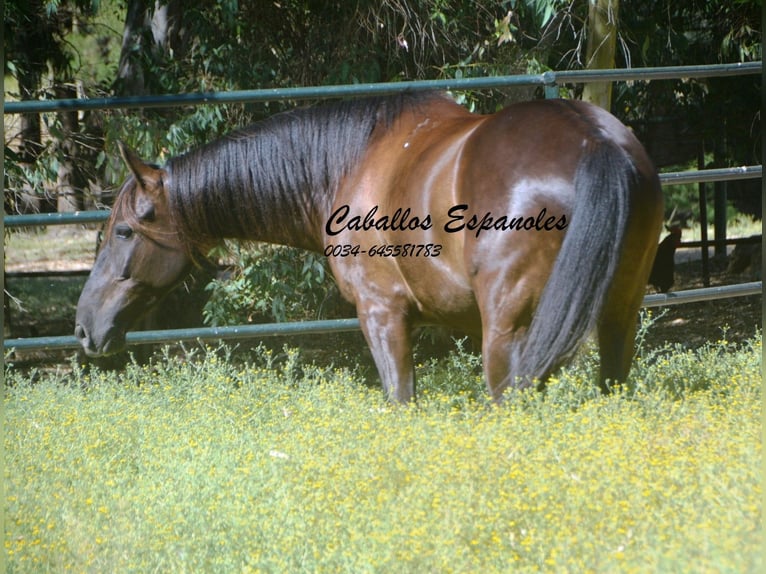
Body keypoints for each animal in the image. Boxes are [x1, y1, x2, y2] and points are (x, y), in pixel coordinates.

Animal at [75, 91, 663, 403]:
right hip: (618, 318)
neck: (346, 167)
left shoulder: (382, 315)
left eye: (123, 232)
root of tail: (595, 140)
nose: (84, 328)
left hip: (509, 335)